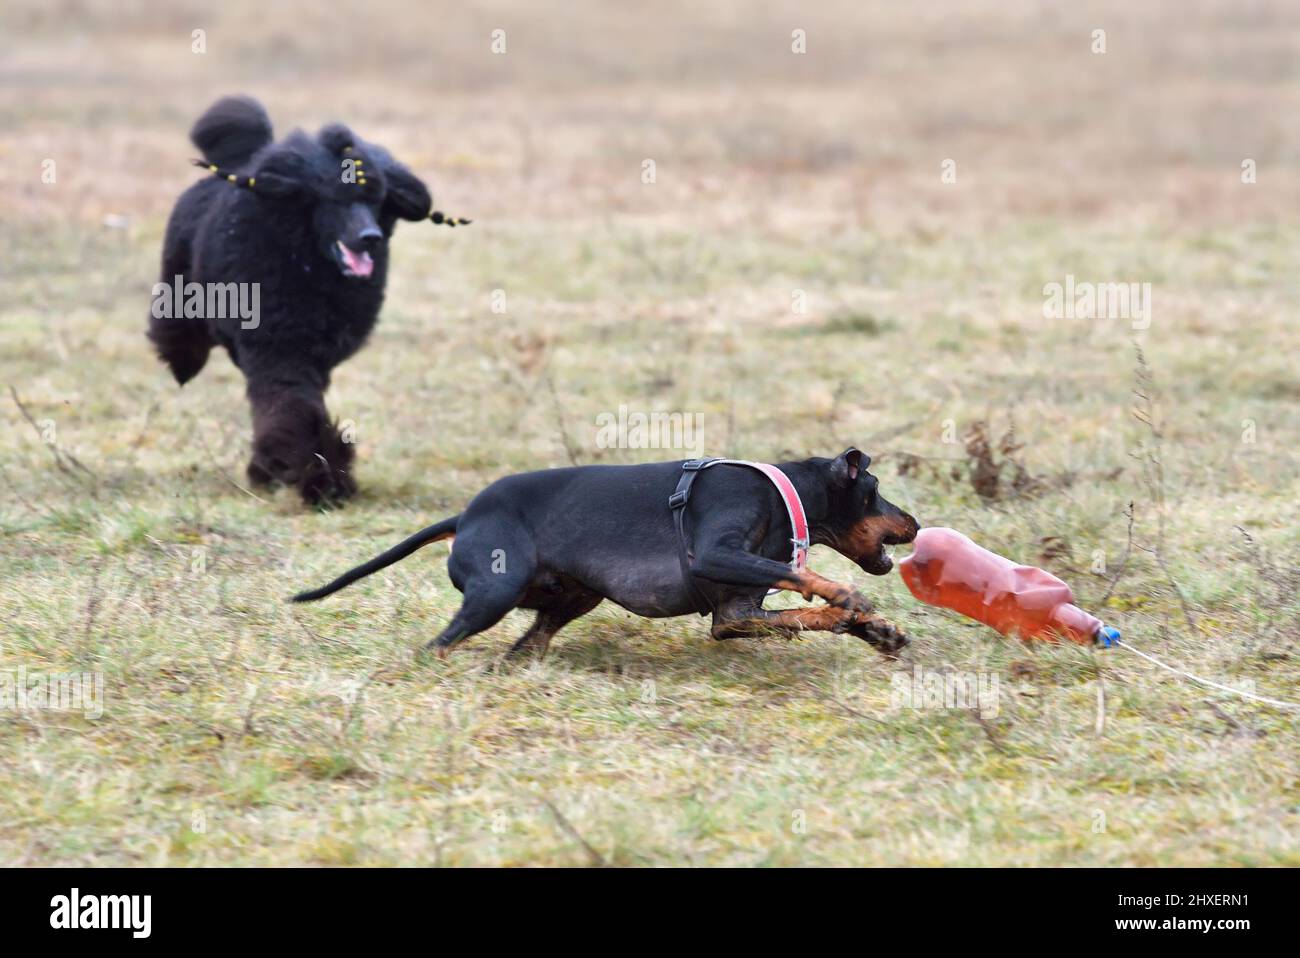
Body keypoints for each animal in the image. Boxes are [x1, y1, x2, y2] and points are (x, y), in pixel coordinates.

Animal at [295, 447, 925, 657]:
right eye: (875, 487)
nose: (916, 524)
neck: (784, 491)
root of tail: (465, 517)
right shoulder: (714, 555)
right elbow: (809, 578)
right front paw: (848, 596)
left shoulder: (735, 615)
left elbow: (800, 614)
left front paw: (875, 630)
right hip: (494, 592)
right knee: (437, 646)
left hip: (572, 600)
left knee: (523, 648)